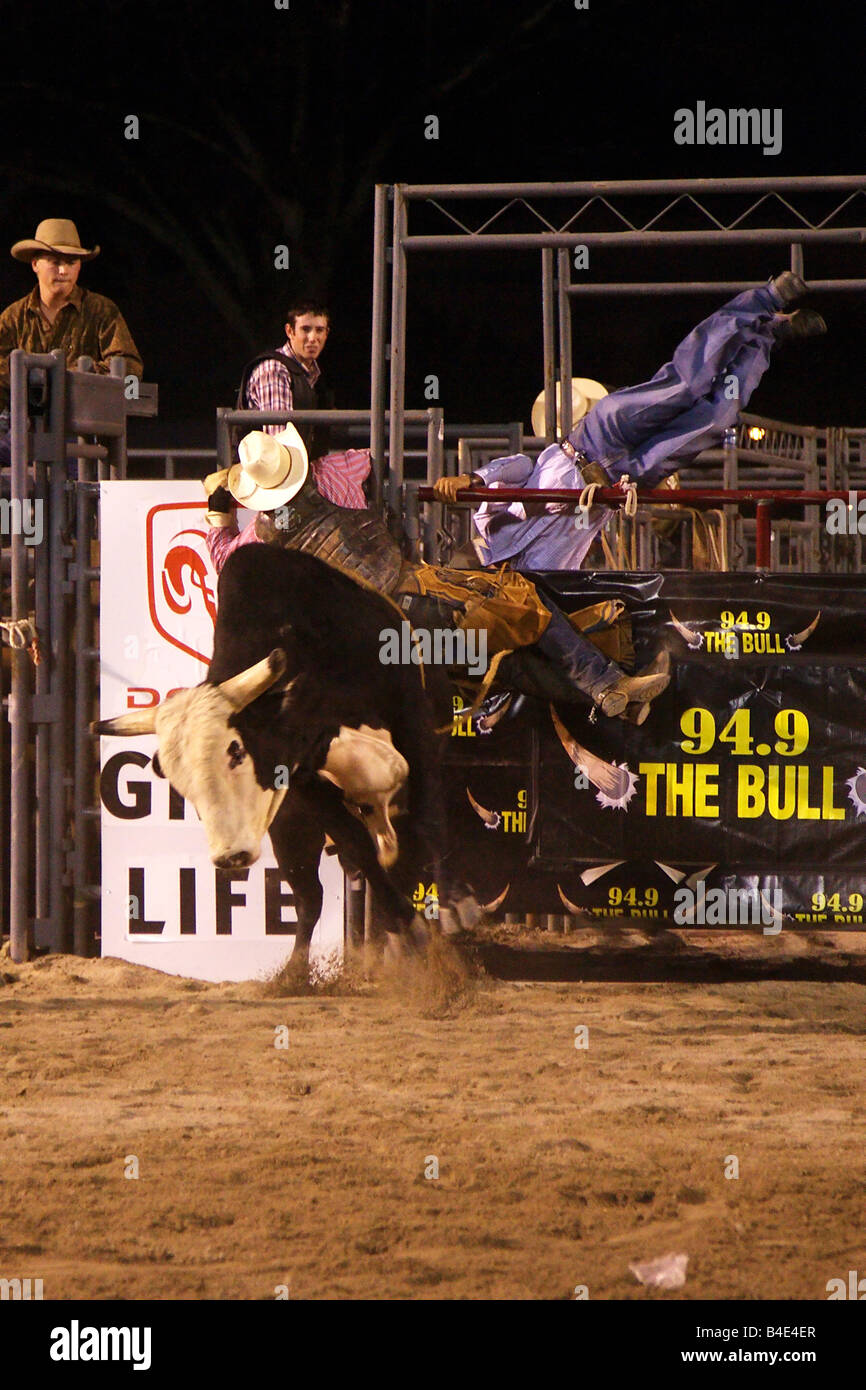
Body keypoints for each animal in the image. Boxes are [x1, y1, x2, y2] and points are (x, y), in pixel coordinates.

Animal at [94, 544, 449, 976]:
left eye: (236, 751)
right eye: (179, 783)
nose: (230, 856)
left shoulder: (411, 716)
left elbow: (424, 826)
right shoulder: (301, 777)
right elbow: (358, 846)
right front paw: (408, 929)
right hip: (289, 830)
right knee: (311, 896)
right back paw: (295, 973)